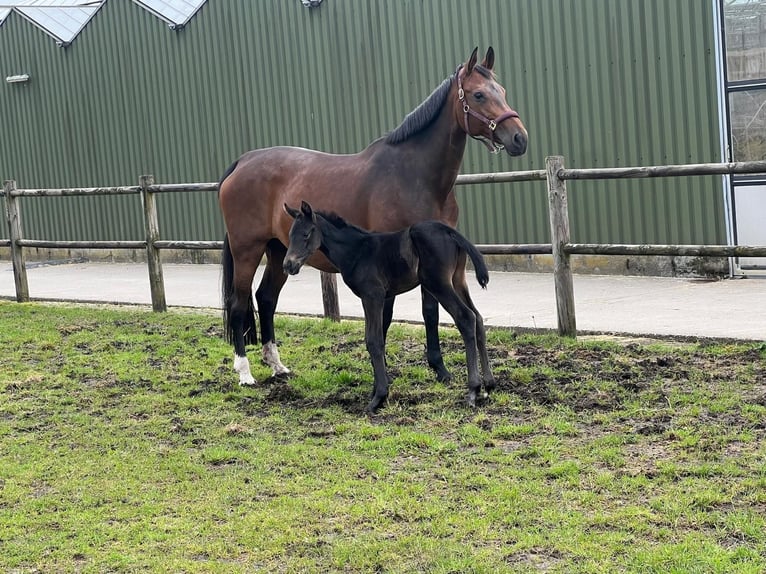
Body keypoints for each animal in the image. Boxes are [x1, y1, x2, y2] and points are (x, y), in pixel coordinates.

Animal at [284, 202, 498, 414]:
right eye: (290, 235)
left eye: (306, 234)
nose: (288, 265)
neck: (357, 251)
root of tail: (449, 231)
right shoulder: (378, 298)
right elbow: (376, 337)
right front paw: (377, 390)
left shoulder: (373, 296)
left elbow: (374, 340)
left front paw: (378, 398)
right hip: (457, 279)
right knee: (478, 318)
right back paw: (489, 384)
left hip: (438, 283)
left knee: (466, 318)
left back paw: (473, 390)